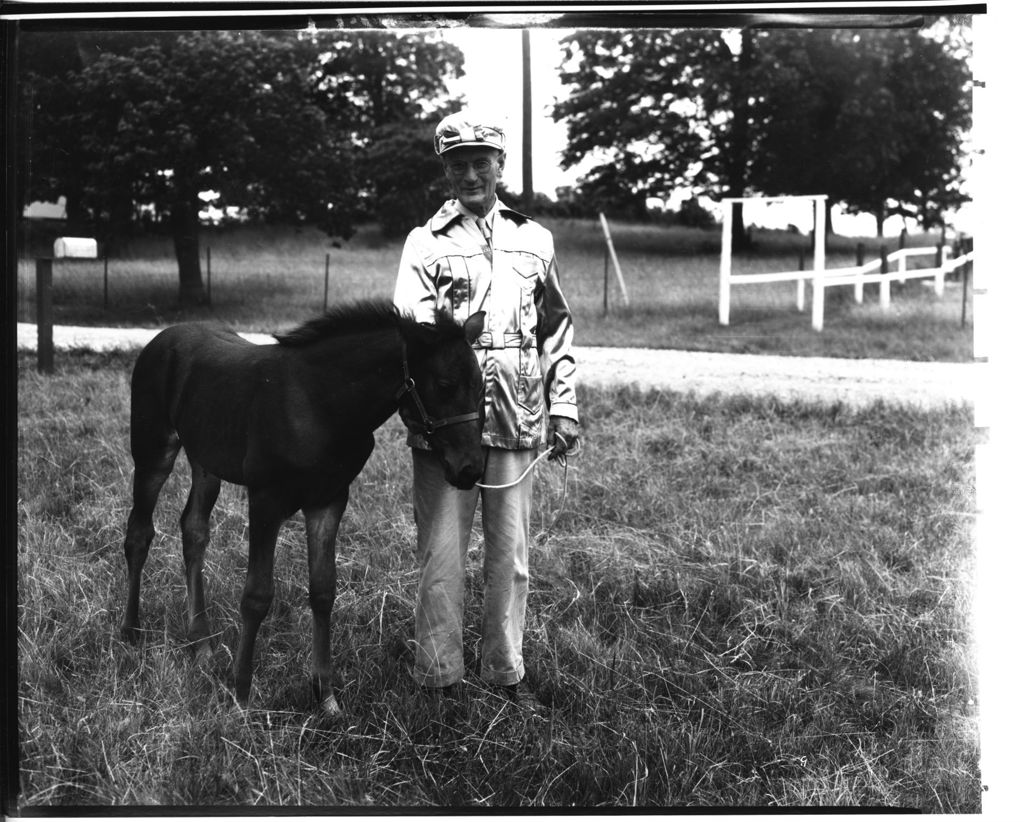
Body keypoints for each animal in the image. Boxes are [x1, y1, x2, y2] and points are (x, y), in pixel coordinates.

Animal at [121, 303, 485, 712]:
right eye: (444, 385)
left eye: (481, 387)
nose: (470, 469)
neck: (321, 403)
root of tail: (162, 337)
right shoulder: (265, 499)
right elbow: (257, 594)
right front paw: (241, 695)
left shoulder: (328, 501)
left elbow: (323, 589)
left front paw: (325, 694)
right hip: (153, 450)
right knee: (139, 533)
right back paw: (131, 633)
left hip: (205, 461)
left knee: (194, 530)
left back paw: (201, 645)